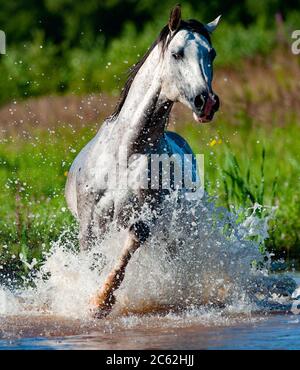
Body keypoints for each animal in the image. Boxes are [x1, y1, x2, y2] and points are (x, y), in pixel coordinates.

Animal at [65, 5, 220, 316]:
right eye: (176, 53)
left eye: (211, 53)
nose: (206, 102)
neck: (127, 152)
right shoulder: (90, 225)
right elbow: (92, 262)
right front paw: (91, 302)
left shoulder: (143, 220)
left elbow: (125, 254)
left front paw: (101, 302)